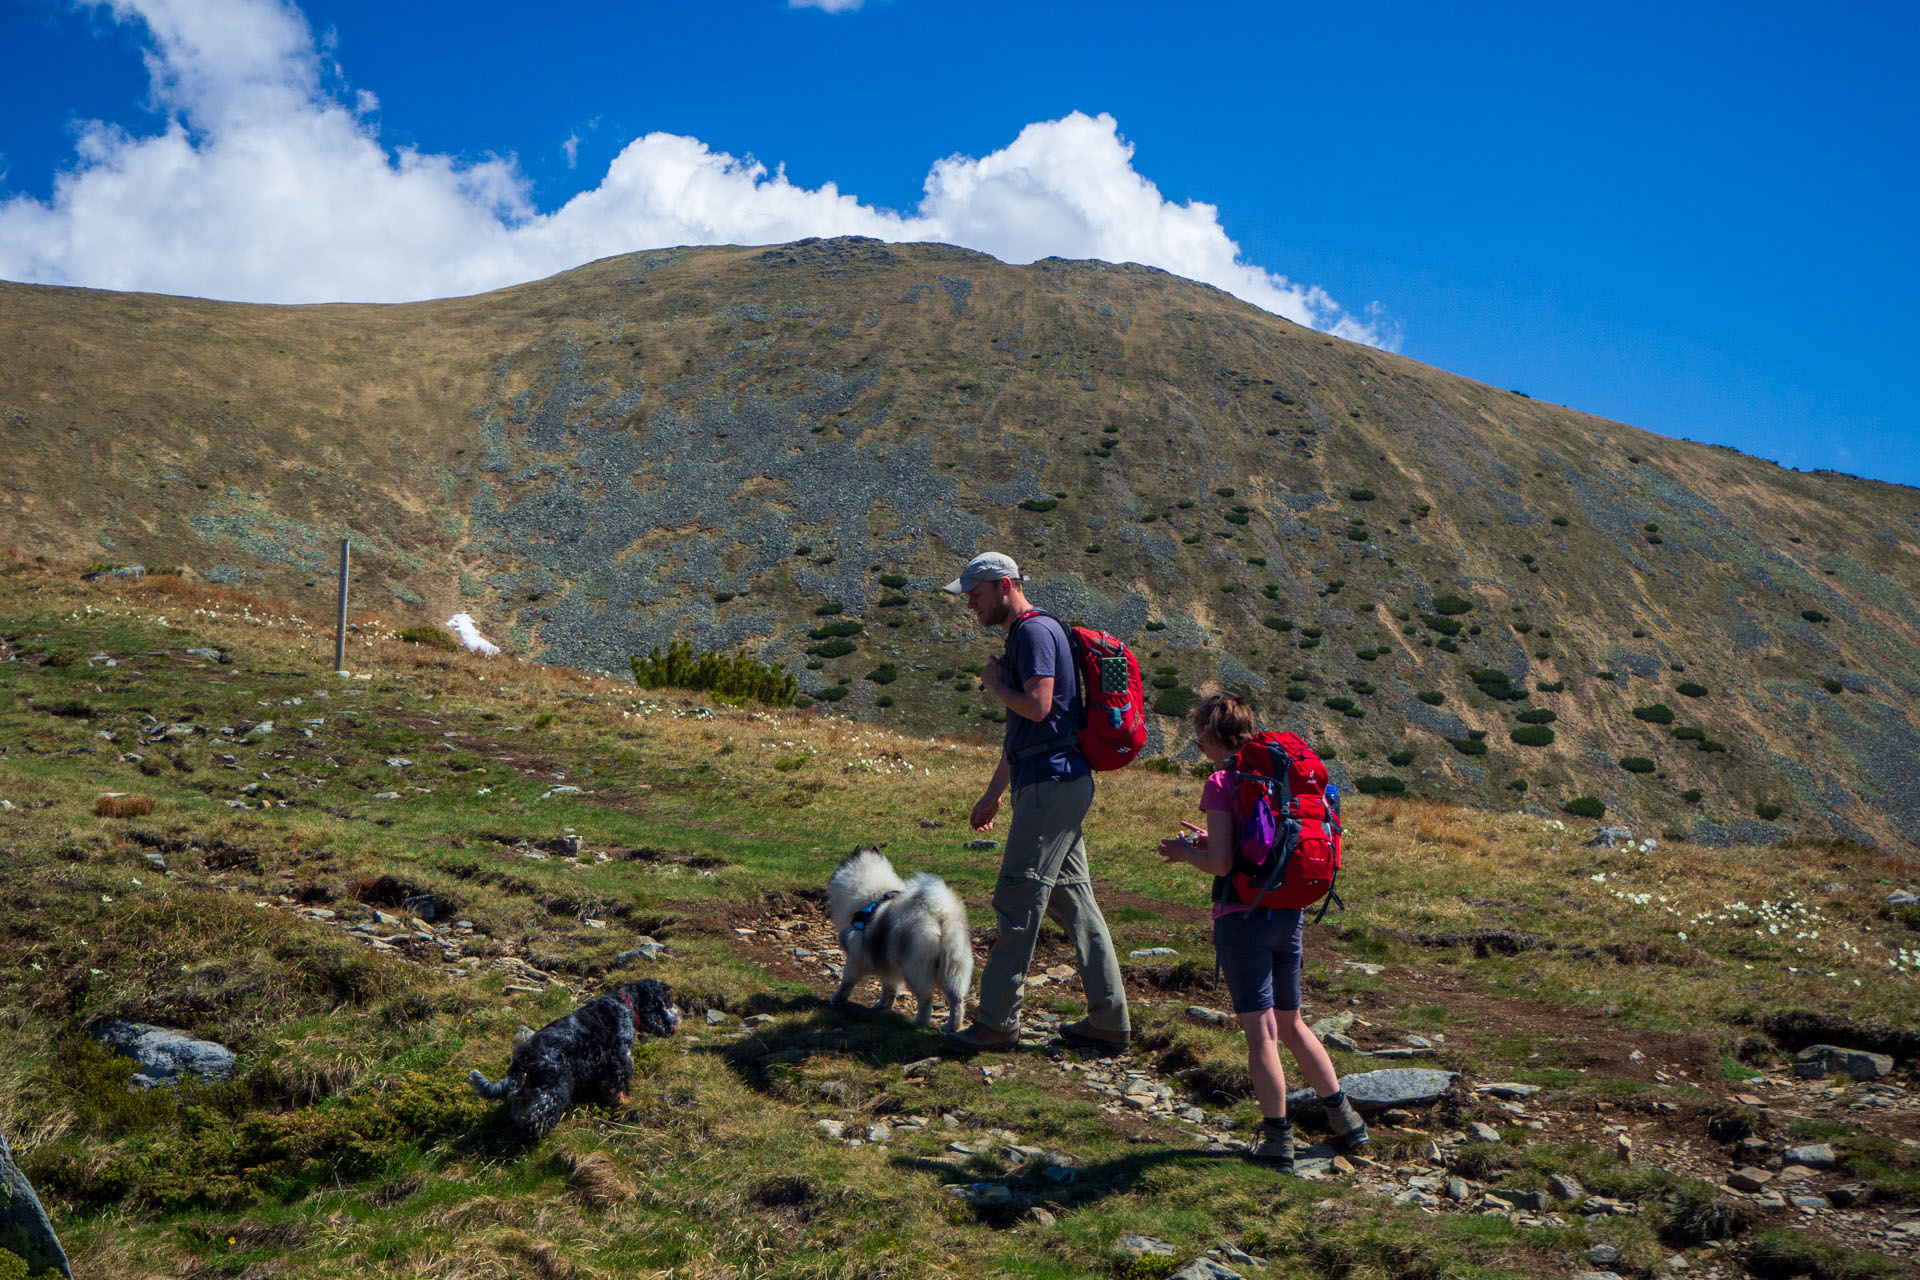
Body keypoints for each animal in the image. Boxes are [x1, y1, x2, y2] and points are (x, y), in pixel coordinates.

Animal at [825, 852, 975, 1028]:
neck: (873, 895)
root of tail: (938, 916)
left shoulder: (856, 957)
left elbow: (847, 981)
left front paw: (837, 999)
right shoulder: (887, 961)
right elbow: (889, 987)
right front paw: (883, 1005)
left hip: (914, 970)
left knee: (926, 1000)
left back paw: (919, 1023)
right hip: (952, 969)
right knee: (956, 1001)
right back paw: (951, 1026)